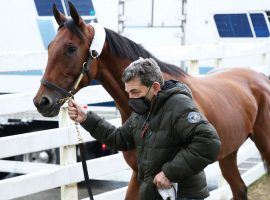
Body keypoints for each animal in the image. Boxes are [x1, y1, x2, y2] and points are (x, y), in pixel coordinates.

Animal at [33, 2, 270, 199]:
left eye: (71, 48)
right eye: (50, 47)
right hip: (228, 154)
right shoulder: (138, 174)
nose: (41, 101)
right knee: (239, 189)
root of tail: (261, 78)